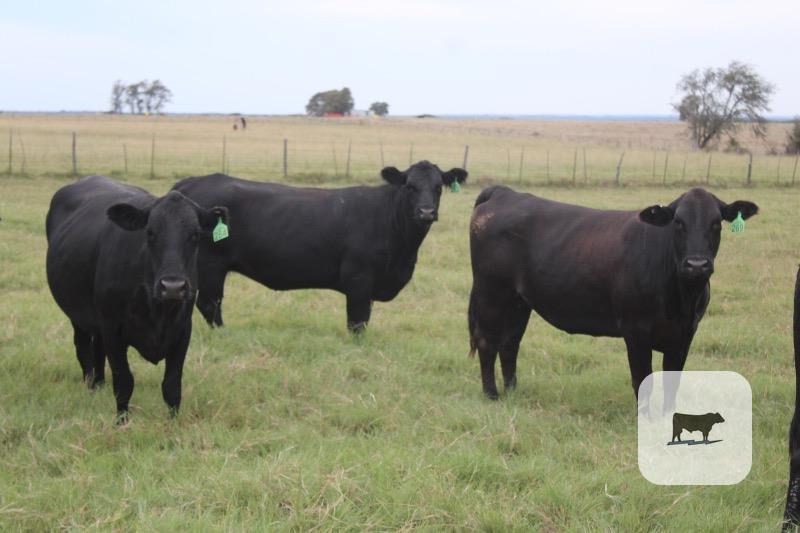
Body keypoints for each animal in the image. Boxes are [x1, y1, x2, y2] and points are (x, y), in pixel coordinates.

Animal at [46, 175, 227, 422]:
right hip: (79, 315)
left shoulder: (182, 330)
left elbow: (172, 385)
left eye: (195, 235)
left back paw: (100, 384)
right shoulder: (113, 329)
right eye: (150, 232)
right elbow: (124, 381)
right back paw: (91, 387)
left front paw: (173, 423)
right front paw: (121, 422)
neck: (156, 310)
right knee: (83, 349)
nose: (172, 287)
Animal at [172, 161, 467, 332]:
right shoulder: (359, 277)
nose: (426, 212)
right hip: (209, 265)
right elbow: (357, 321)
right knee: (209, 304)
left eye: (438, 187)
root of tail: (192, 182)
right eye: (409, 186)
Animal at [468, 186, 758, 405]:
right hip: (491, 293)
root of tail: (506, 192)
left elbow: (672, 381)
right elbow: (642, 379)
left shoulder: (685, 333)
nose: (697, 264)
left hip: (518, 301)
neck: (681, 299)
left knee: (510, 343)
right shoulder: (636, 330)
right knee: (487, 342)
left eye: (716, 224)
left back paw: (513, 391)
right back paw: (492, 395)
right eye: (678, 223)